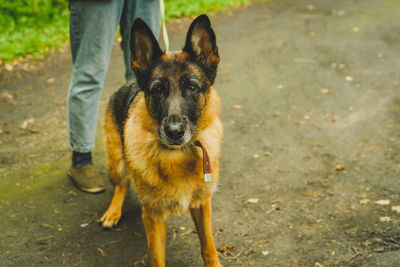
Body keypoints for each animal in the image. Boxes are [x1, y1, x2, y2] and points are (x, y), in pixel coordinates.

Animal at [100, 15, 223, 267]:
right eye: (157, 90)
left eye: (192, 87)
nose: (174, 131)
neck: (178, 156)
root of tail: (129, 83)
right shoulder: (154, 216)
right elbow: (157, 257)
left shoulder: (202, 204)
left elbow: (209, 247)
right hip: (117, 161)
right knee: (121, 185)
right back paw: (113, 212)